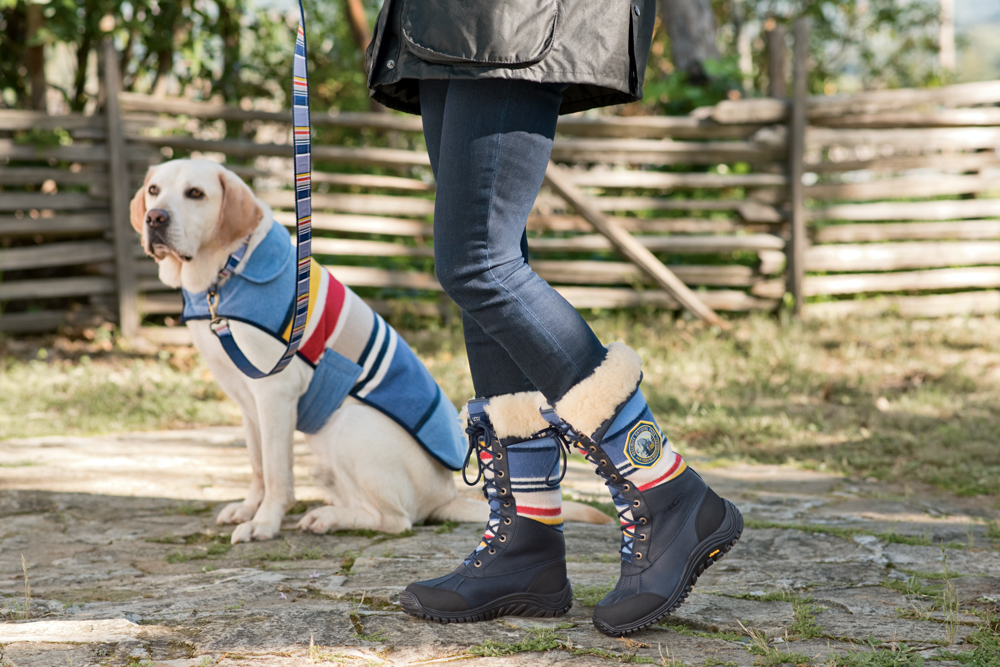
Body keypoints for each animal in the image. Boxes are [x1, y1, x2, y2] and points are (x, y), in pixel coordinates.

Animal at [127, 160, 608, 544]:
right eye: (154, 190)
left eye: (195, 193)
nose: (155, 218)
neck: (226, 270)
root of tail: (446, 495)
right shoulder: (248, 404)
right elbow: (259, 466)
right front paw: (248, 508)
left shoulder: (275, 394)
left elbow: (278, 474)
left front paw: (264, 523)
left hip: (348, 427)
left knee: (397, 520)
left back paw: (330, 518)